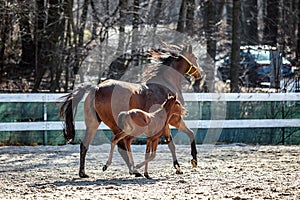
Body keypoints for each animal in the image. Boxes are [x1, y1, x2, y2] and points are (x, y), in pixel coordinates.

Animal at [60, 45, 206, 178]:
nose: (200, 74)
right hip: (117, 125)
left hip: (94, 123)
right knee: (121, 144)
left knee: (85, 145)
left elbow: (182, 138)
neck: (166, 84)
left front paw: (183, 165)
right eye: (195, 57)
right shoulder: (174, 119)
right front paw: (187, 163)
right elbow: (181, 139)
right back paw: (132, 170)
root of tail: (96, 88)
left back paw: (84, 173)